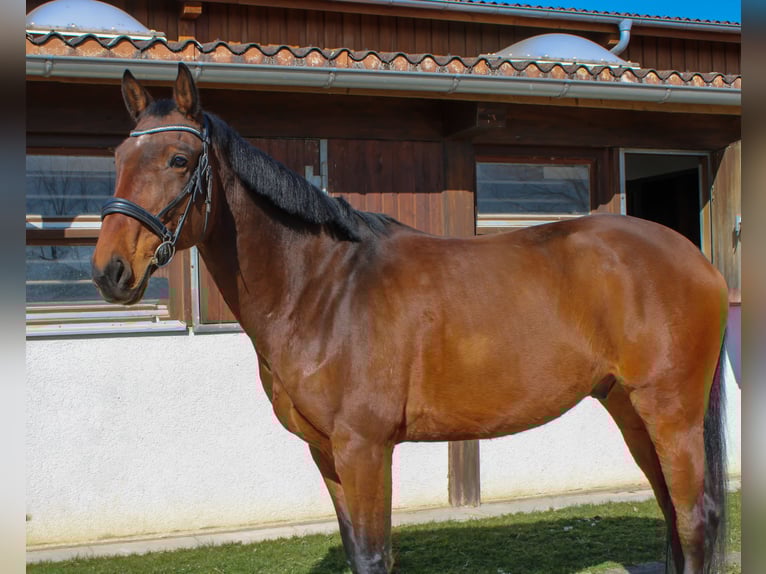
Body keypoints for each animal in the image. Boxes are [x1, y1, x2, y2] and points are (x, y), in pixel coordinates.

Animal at [92, 63, 729, 574]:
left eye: (179, 159)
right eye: (117, 158)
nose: (110, 271)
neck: (324, 290)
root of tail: (696, 259)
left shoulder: (365, 448)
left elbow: (375, 555)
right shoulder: (327, 453)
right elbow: (359, 551)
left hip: (670, 414)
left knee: (694, 519)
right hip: (630, 410)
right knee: (673, 516)